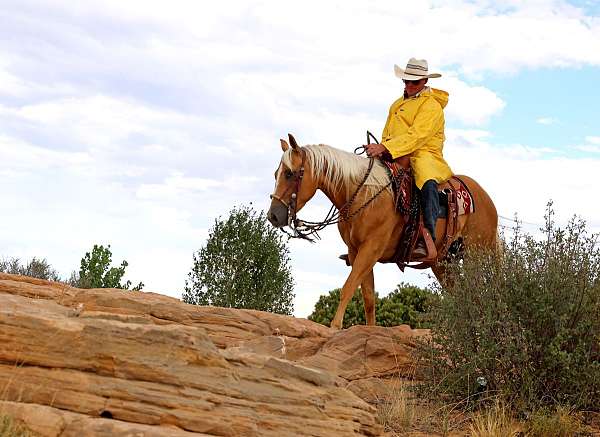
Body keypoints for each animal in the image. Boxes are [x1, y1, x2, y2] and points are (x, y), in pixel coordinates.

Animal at [268, 135, 496, 328]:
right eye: (275, 174)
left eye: (289, 174)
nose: (273, 216)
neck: (362, 194)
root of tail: (485, 198)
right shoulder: (356, 251)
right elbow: (368, 298)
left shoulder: (371, 249)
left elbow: (348, 287)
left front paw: (335, 327)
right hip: (442, 263)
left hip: (474, 256)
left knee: (476, 296)